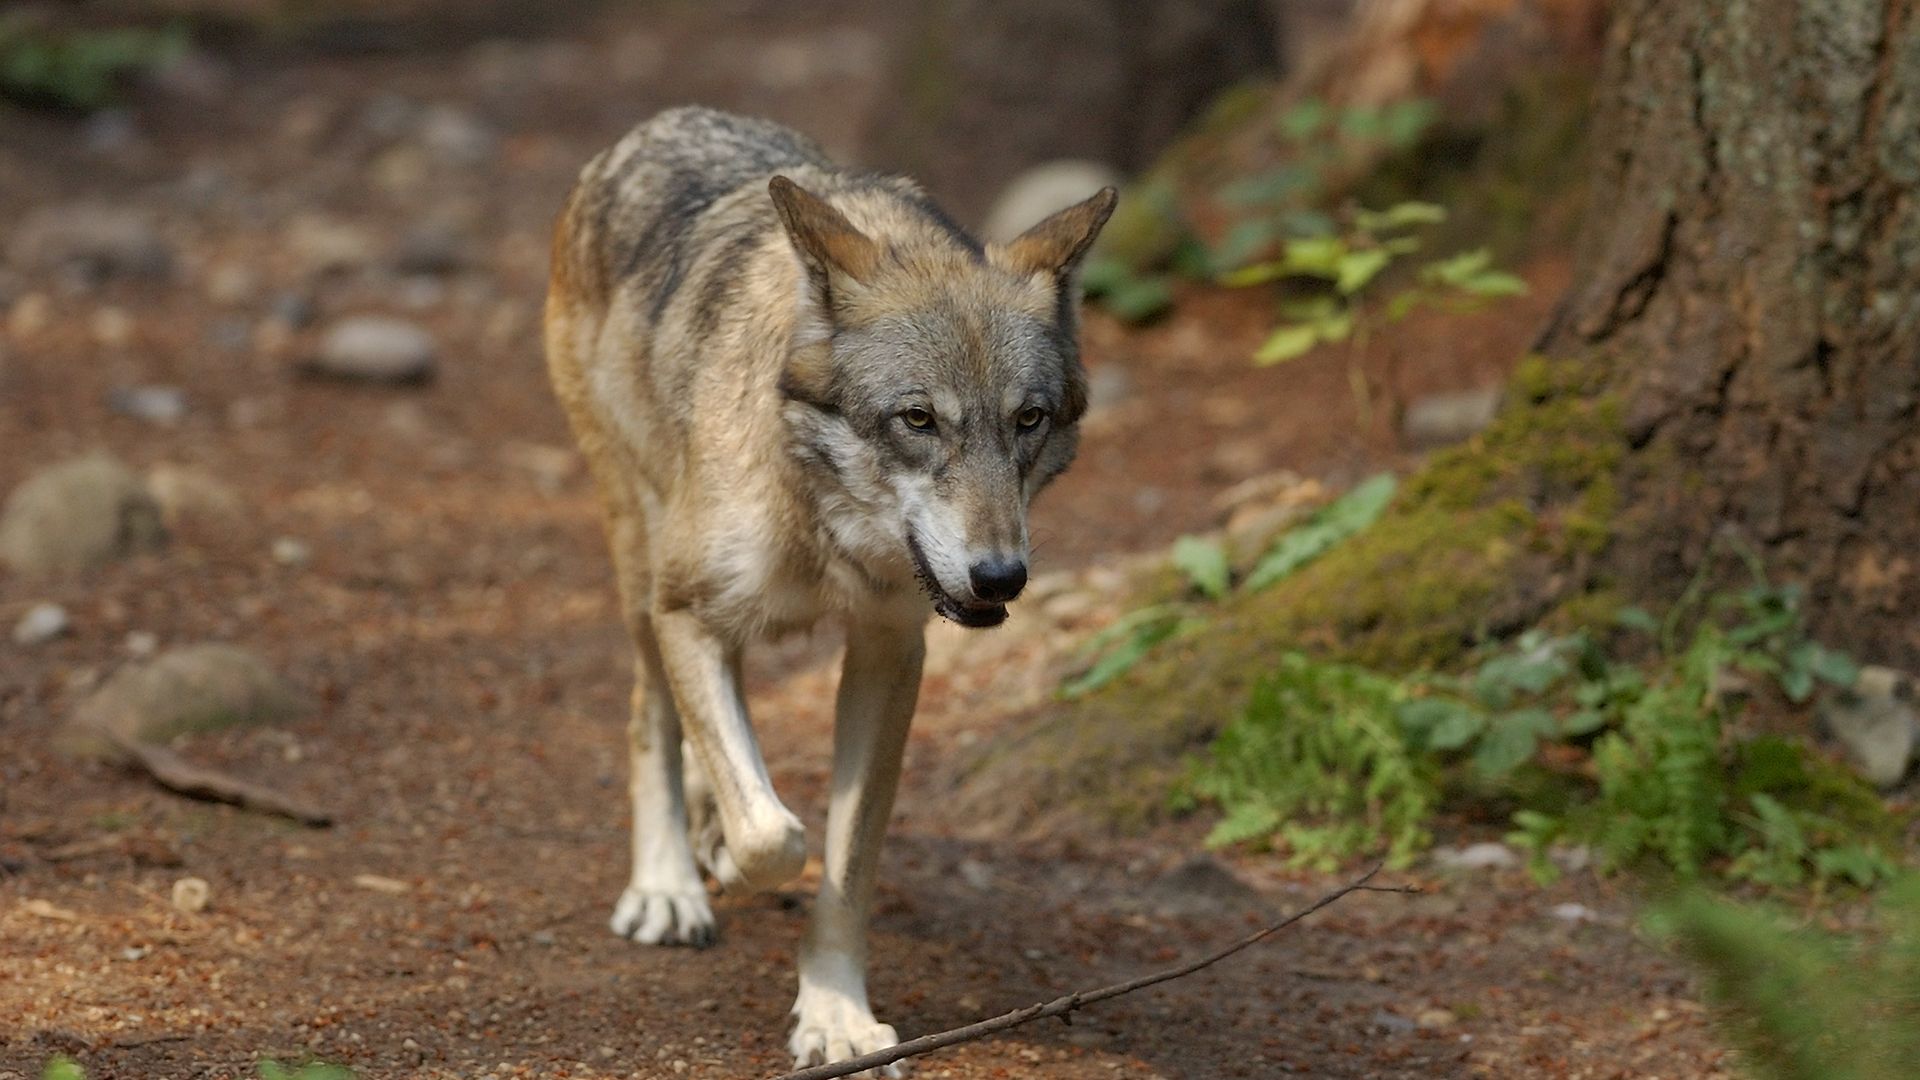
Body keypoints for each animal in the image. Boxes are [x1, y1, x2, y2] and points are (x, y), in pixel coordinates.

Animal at [545, 106, 1113, 1073]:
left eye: (1027, 420)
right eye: (918, 419)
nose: (1001, 575)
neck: (825, 524)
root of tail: (655, 126)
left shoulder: (889, 653)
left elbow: (844, 867)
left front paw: (836, 1017)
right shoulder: (688, 610)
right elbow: (774, 835)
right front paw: (725, 853)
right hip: (641, 565)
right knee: (650, 713)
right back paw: (669, 882)